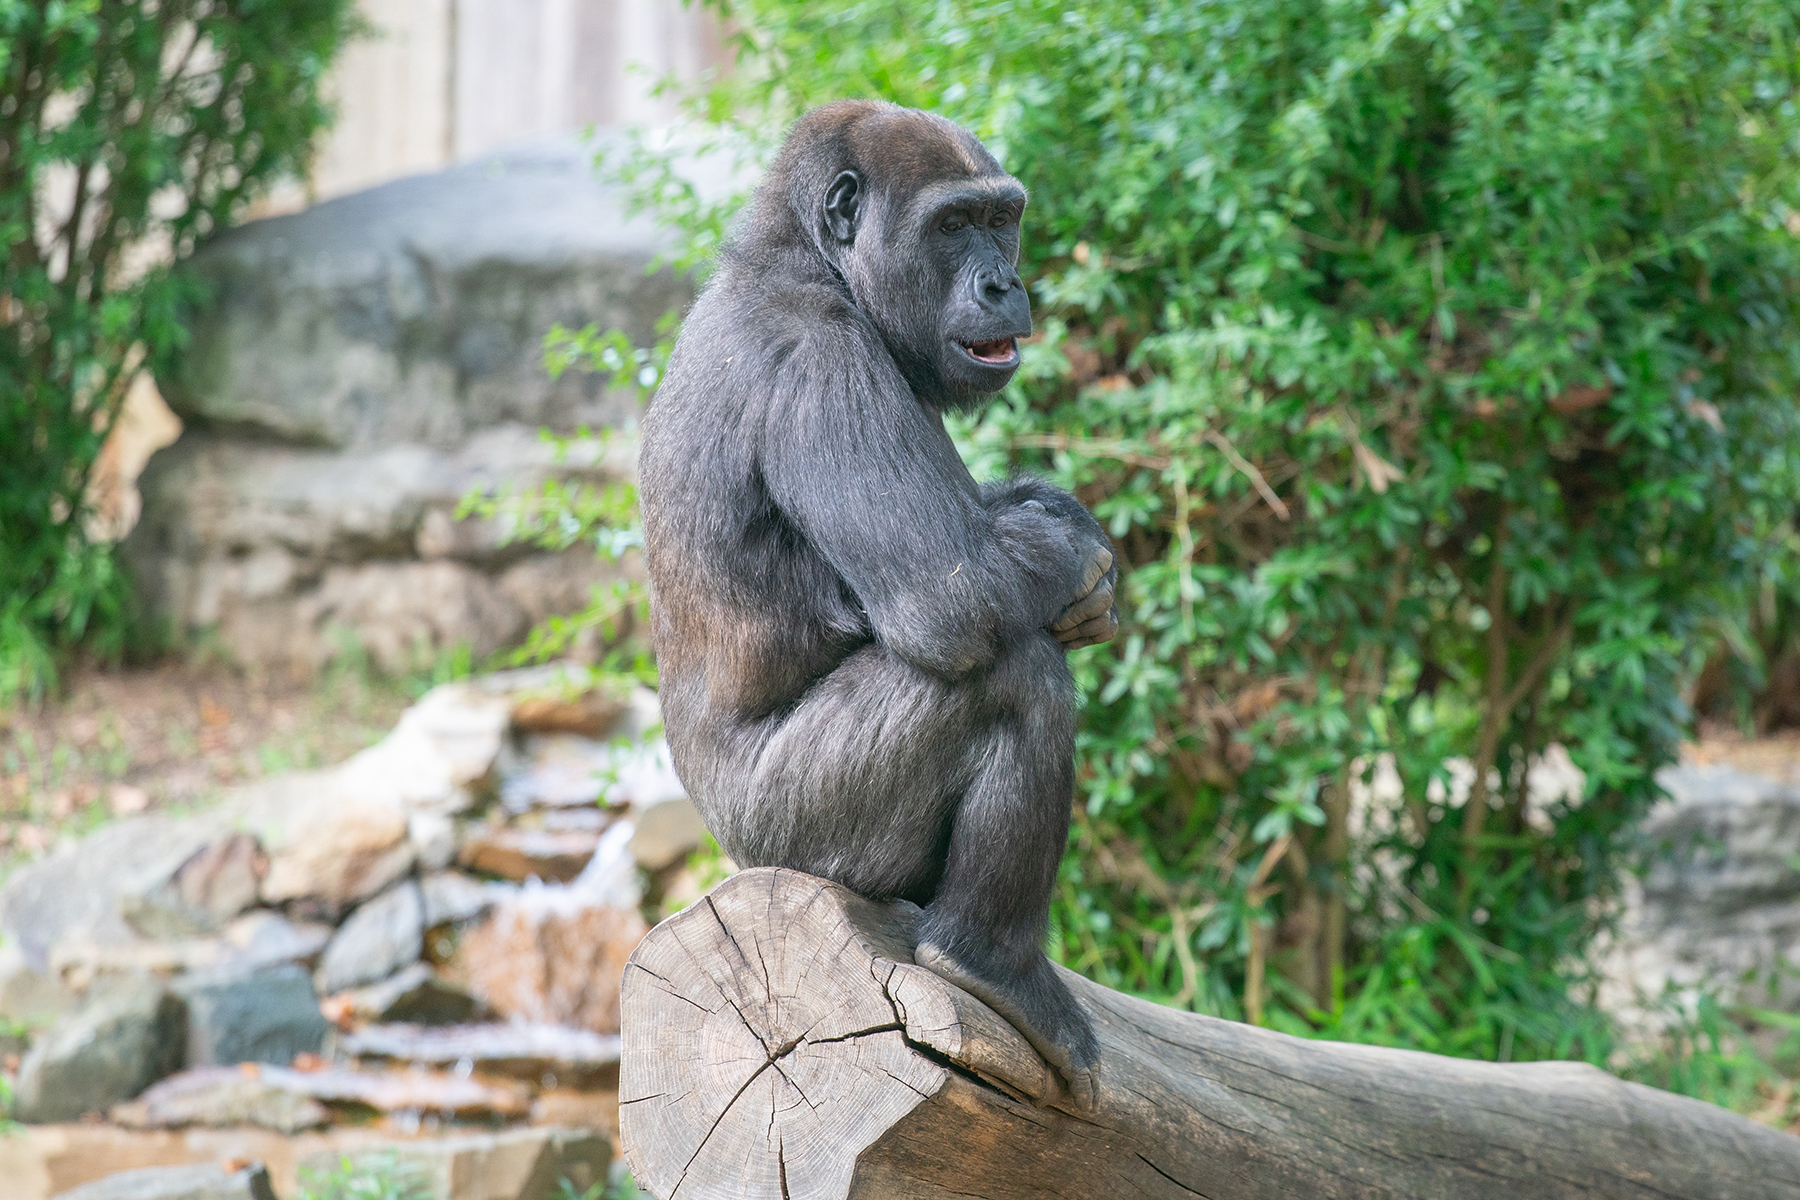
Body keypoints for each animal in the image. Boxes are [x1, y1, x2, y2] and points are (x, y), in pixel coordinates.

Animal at [640, 100, 1116, 1108]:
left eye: (1002, 218)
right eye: (953, 225)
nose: (1005, 281)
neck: (800, 260)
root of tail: (740, 862)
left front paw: (1056, 518)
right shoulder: (821, 358)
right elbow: (953, 595)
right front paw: (1072, 554)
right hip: (796, 836)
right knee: (1010, 674)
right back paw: (987, 962)